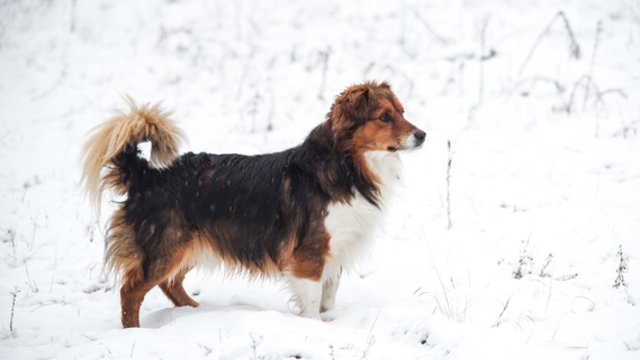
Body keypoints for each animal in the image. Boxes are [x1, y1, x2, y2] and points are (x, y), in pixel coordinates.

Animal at [82, 81, 428, 326]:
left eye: (402, 111)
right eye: (384, 117)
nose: (423, 135)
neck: (347, 163)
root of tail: (146, 176)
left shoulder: (337, 250)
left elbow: (328, 296)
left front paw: (328, 320)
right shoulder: (311, 254)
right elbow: (312, 301)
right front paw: (314, 328)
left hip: (191, 245)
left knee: (170, 284)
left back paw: (194, 313)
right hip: (166, 246)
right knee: (131, 292)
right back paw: (134, 332)